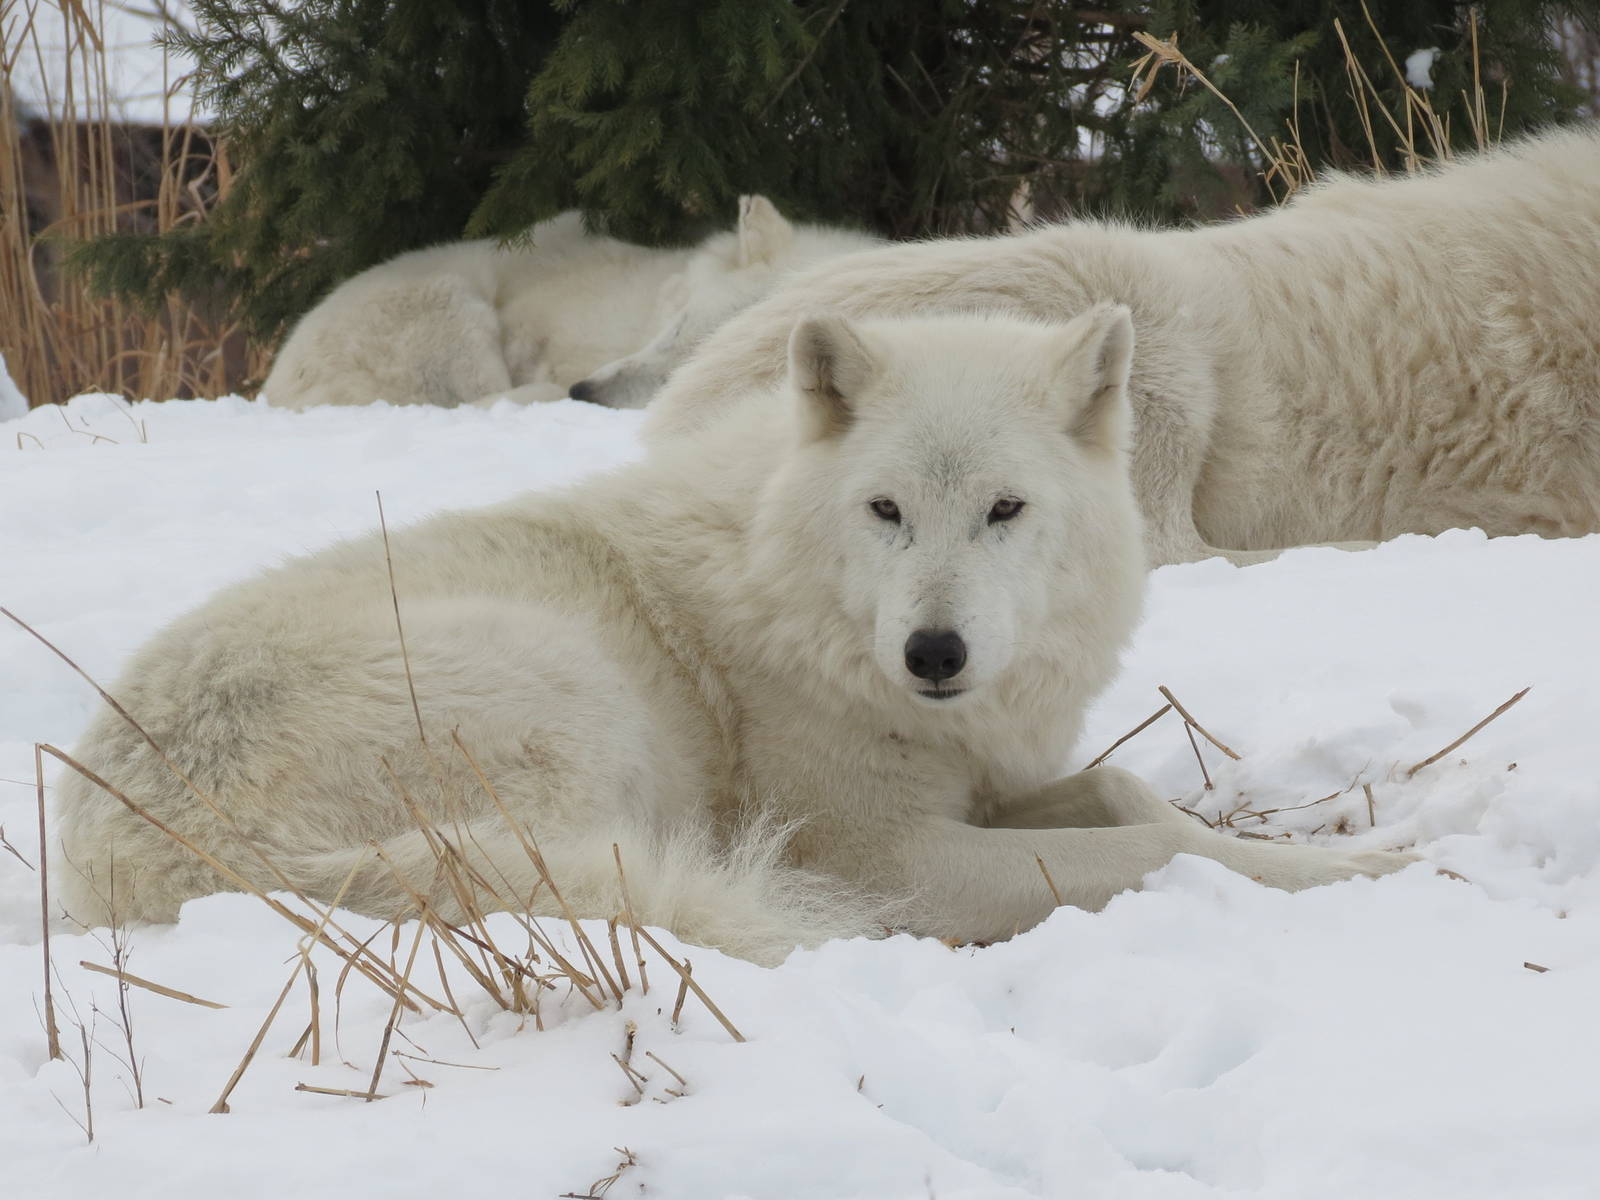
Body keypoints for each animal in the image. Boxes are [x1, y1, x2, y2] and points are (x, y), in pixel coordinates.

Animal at [57, 308, 1412, 963]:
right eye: (886, 510)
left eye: (1004, 510)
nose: (933, 657)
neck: (798, 596)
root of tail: (151, 850)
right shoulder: (888, 857)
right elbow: (1149, 851)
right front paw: (1355, 871)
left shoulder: (986, 783)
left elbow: (1132, 794)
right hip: (567, 697)